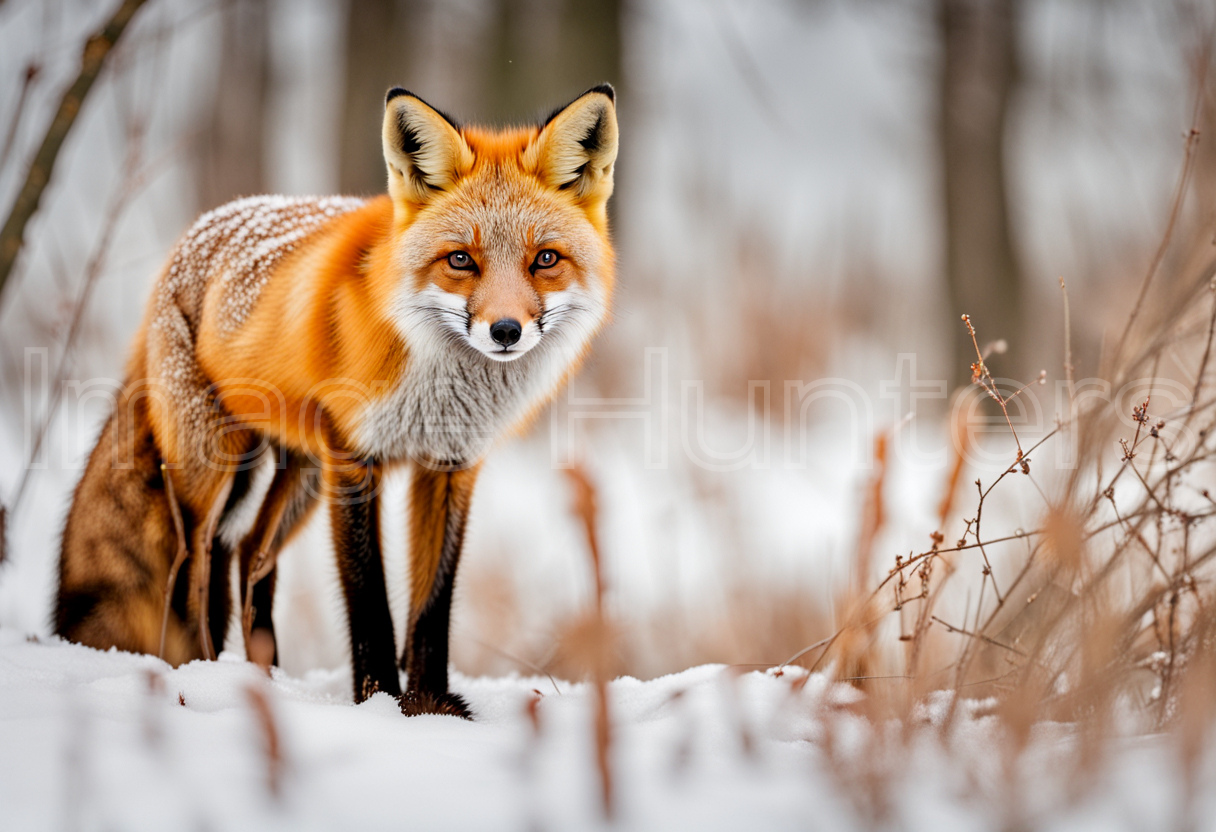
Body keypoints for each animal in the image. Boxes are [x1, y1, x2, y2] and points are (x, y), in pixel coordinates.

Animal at [55, 87, 617, 720]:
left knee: (248, 554)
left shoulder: (450, 464)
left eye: (545, 259)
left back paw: (263, 680)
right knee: (190, 567)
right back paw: (196, 674)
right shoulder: (353, 460)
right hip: (214, 470)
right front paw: (380, 704)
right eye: (460, 260)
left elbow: (432, 602)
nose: (504, 331)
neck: (439, 386)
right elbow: (369, 599)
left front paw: (431, 707)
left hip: (292, 472)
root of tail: (194, 233)